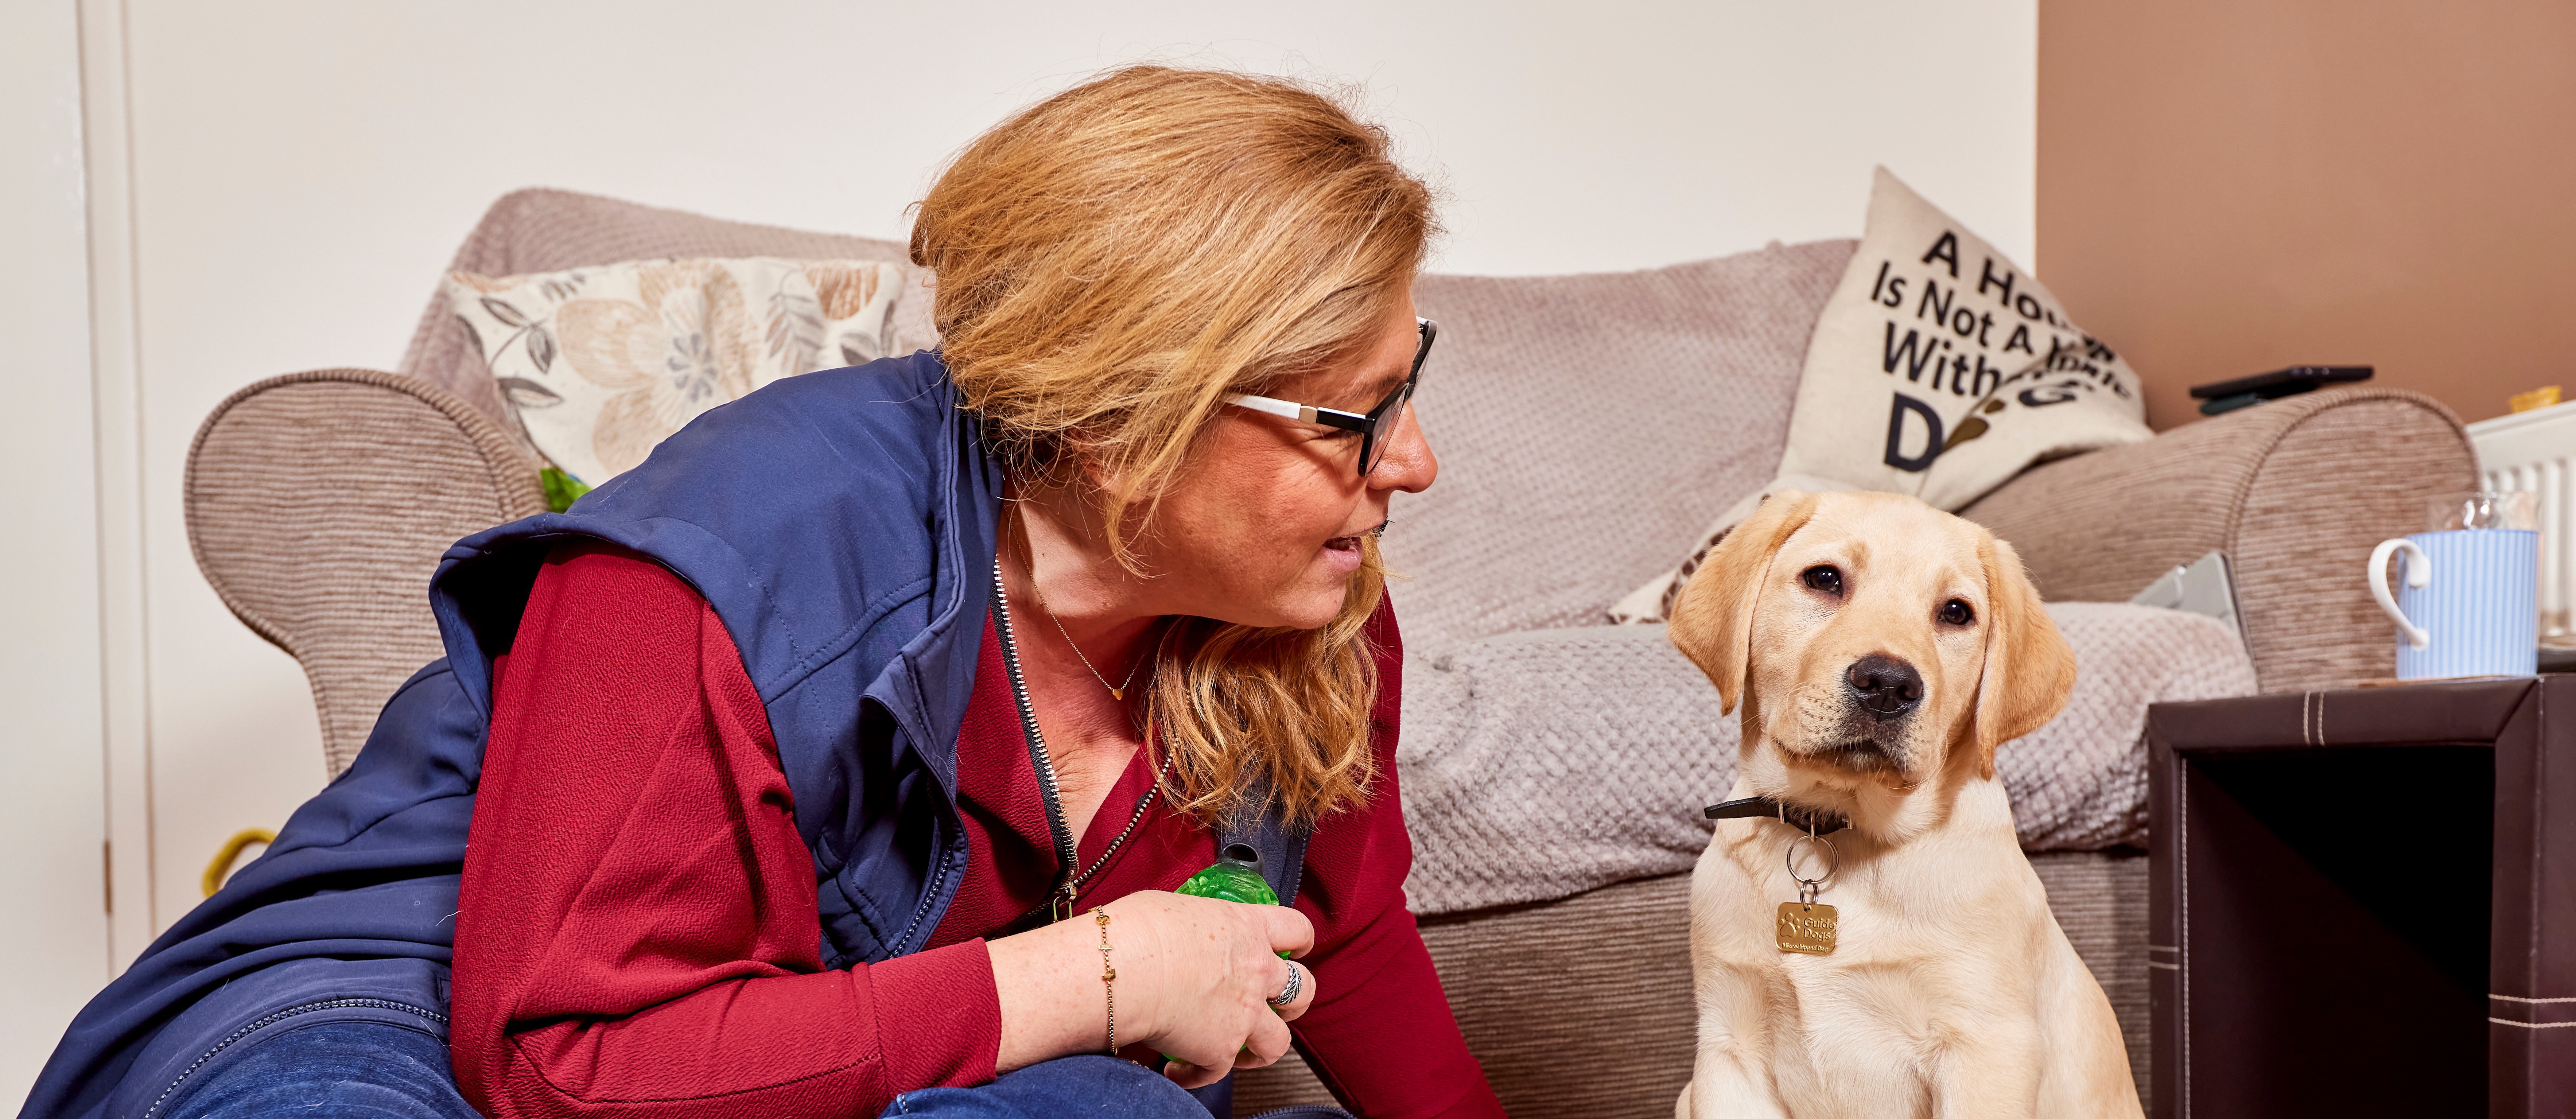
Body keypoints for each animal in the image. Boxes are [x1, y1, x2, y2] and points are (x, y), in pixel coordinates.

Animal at [1669, 492, 2133, 1119]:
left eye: (1956, 613)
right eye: (1824, 579)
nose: (1888, 684)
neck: (1836, 826)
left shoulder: (1986, 1046)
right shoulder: (1727, 1047)